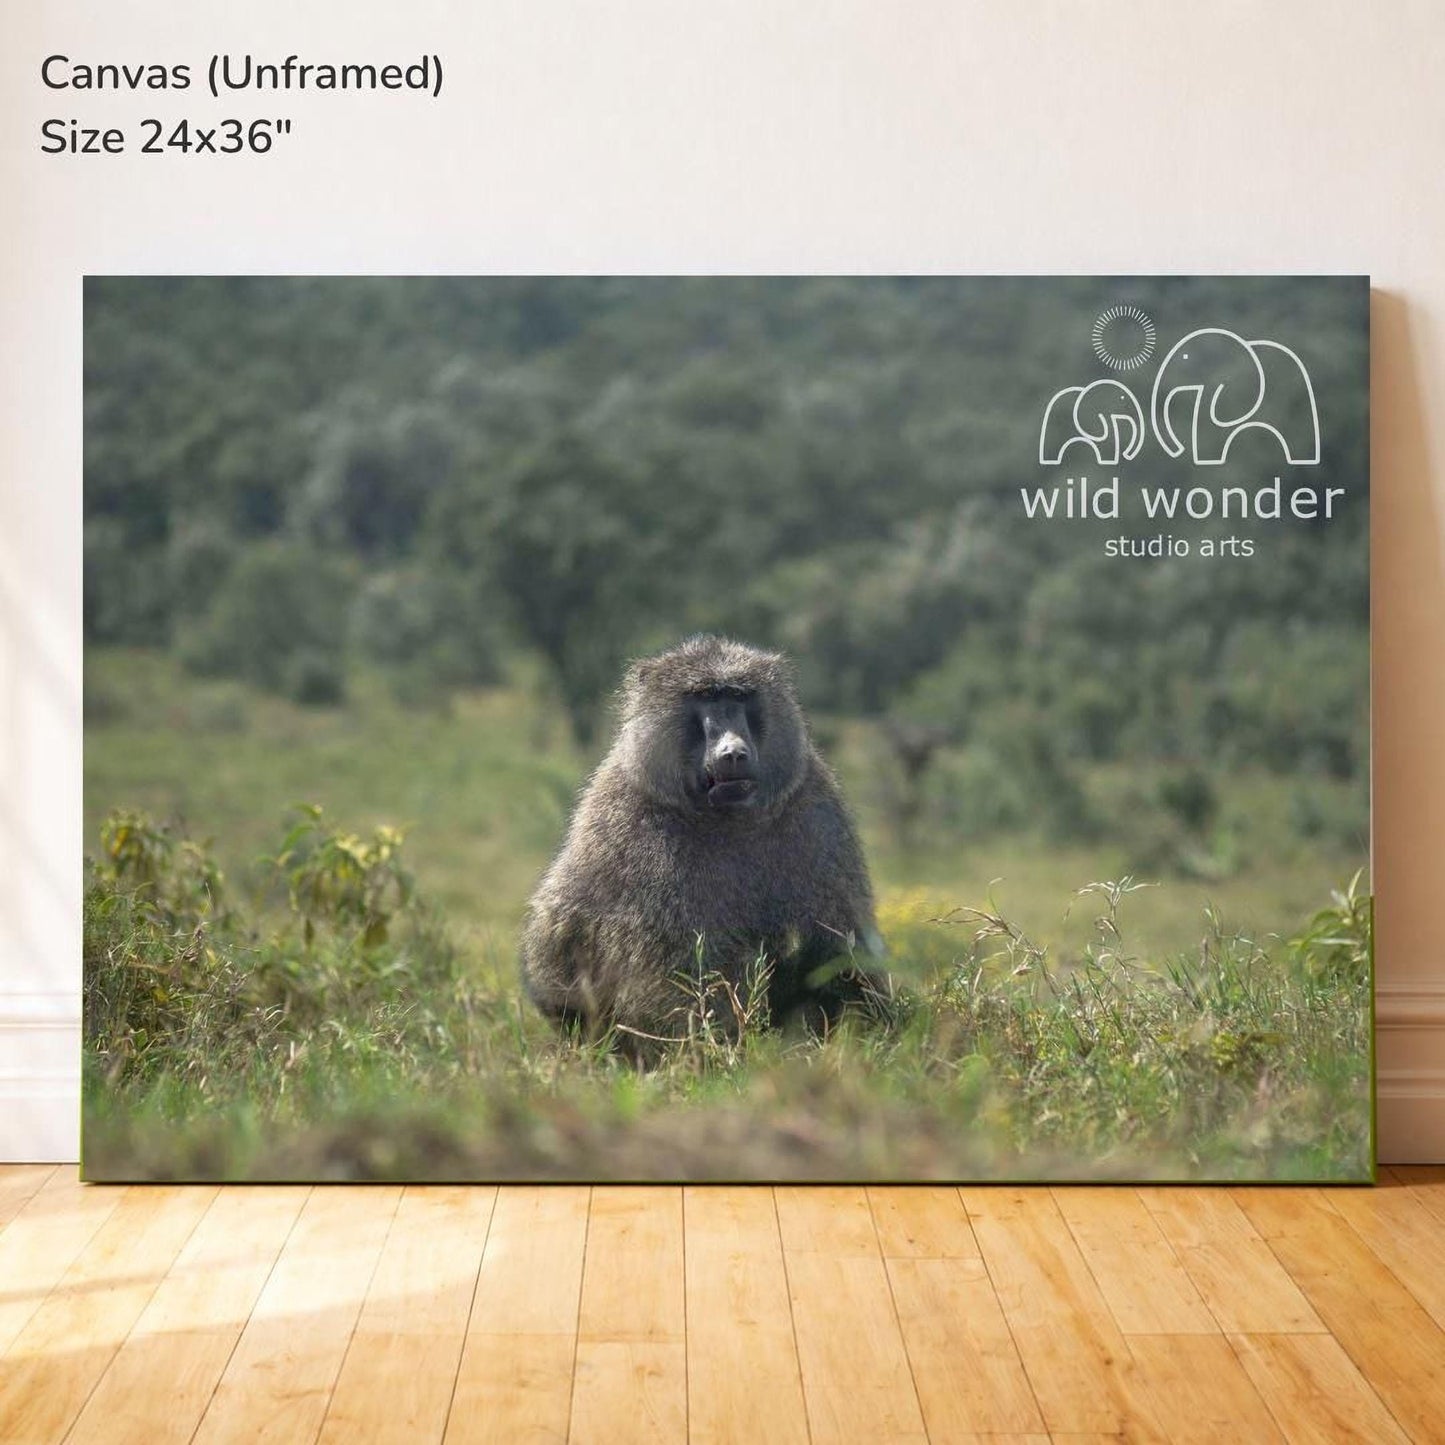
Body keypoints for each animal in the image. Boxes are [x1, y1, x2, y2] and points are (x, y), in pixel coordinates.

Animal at [520, 635, 889, 1047]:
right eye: (706, 697)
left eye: (739, 696)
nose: (733, 752)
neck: (725, 819)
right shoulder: (629, 821)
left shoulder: (816, 811)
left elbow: (840, 952)